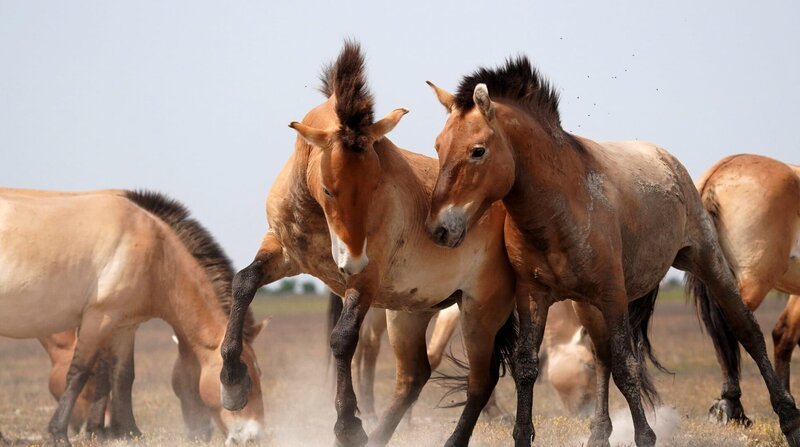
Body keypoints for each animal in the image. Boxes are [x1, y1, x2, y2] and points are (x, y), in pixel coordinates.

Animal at [0, 189, 266, 446]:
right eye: (246, 378)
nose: (254, 436)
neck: (155, 253)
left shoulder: (123, 328)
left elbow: (123, 376)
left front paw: (129, 433)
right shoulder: (97, 320)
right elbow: (79, 374)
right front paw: (59, 434)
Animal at [219, 41, 517, 447]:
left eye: (376, 183)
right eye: (329, 188)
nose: (352, 259)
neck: (315, 213)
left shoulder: (365, 281)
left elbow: (343, 340)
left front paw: (348, 425)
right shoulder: (283, 252)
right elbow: (244, 283)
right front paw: (233, 383)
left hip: (479, 310)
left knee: (480, 381)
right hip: (411, 310)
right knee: (414, 376)